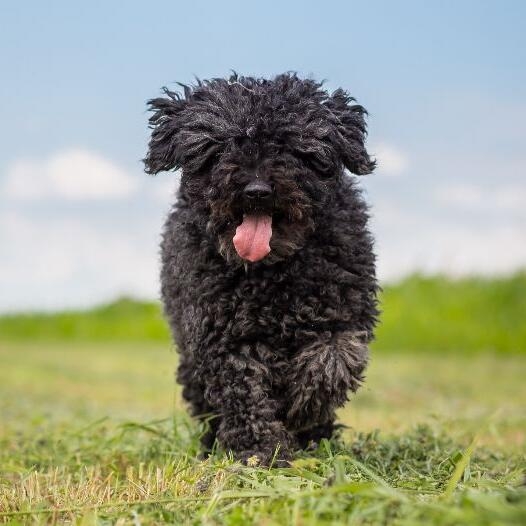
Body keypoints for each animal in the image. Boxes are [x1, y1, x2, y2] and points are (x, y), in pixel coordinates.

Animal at [144, 72, 380, 468]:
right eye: (222, 147)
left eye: (289, 146)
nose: (256, 190)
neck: (272, 274)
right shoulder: (223, 336)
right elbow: (245, 396)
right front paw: (261, 453)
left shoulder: (344, 316)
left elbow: (331, 361)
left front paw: (302, 408)